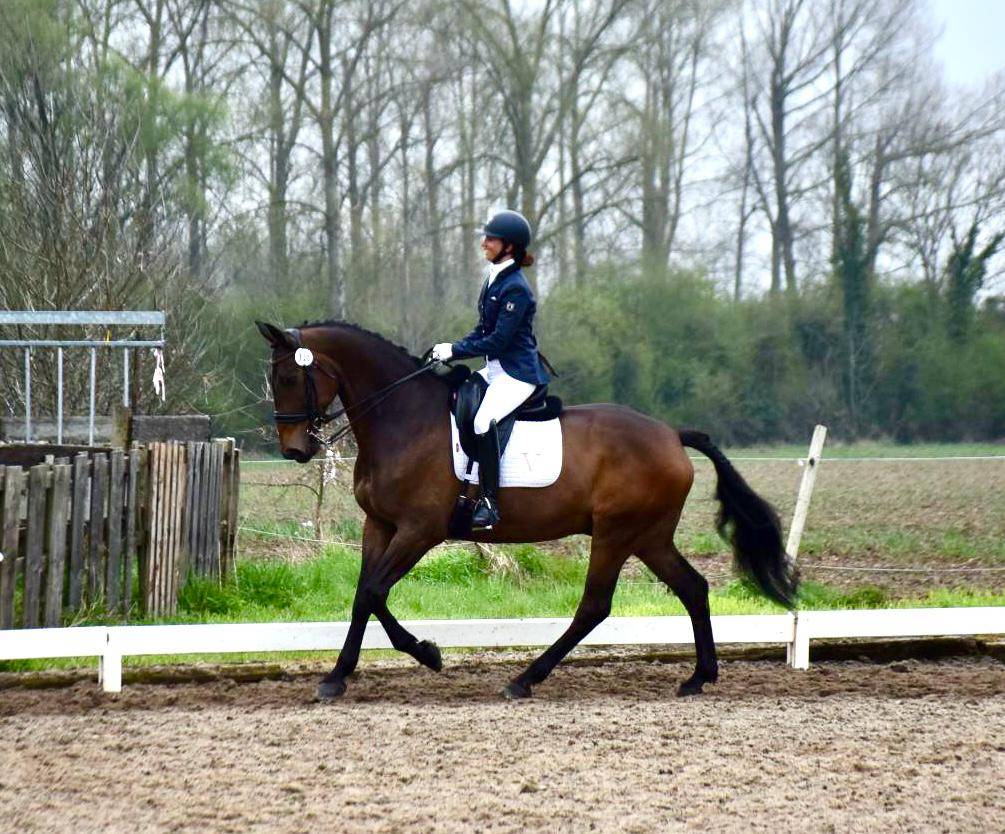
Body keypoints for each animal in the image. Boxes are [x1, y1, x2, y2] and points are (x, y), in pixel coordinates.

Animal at [256, 319, 798, 700]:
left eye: (287, 376)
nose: (294, 450)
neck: (402, 418)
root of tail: (672, 434)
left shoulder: (419, 530)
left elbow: (372, 591)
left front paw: (423, 656)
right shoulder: (381, 525)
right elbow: (365, 595)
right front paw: (346, 673)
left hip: (617, 534)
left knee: (595, 606)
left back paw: (525, 679)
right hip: (649, 536)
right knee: (693, 588)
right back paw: (698, 677)